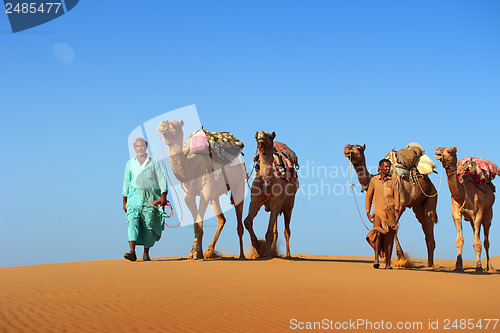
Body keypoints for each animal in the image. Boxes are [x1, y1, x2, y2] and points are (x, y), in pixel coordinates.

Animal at [157, 120, 247, 260]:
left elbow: (199, 223)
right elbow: (197, 224)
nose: (162, 124)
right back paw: (209, 251)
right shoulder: (188, 196)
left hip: (239, 184)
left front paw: (195, 253)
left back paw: (242, 255)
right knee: (221, 219)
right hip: (215, 196)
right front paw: (195, 253)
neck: (191, 168)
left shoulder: (205, 191)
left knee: (239, 223)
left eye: (175, 125)